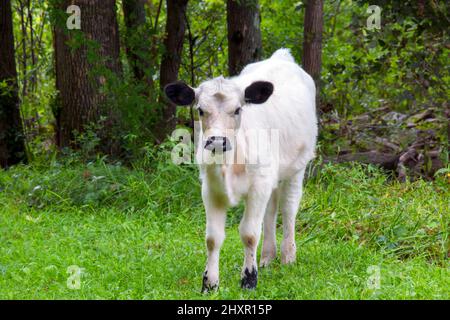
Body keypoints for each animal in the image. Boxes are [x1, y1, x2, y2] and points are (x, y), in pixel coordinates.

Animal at [164, 47, 316, 290]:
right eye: (200, 110)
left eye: (237, 110)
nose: (217, 141)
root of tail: (282, 57)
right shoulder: (210, 189)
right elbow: (213, 238)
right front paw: (210, 283)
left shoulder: (258, 186)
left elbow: (249, 234)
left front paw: (249, 279)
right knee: (271, 212)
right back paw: (267, 258)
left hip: (297, 167)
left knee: (289, 207)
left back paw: (287, 256)